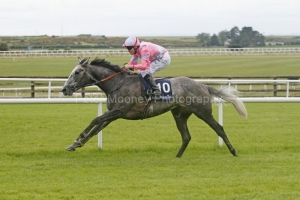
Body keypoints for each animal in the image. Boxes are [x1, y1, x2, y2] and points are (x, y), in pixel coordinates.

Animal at [62, 57, 247, 157]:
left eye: (77, 72)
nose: (64, 89)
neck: (117, 83)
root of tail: (202, 85)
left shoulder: (119, 111)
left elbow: (95, 120)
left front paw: (78, 140)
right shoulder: (113, 113)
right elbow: (97, 128)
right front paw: (75, 144)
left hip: (202, 111)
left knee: (219, 128)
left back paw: (233, 151)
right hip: (179, 114)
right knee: (186, 136)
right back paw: (177, 157)